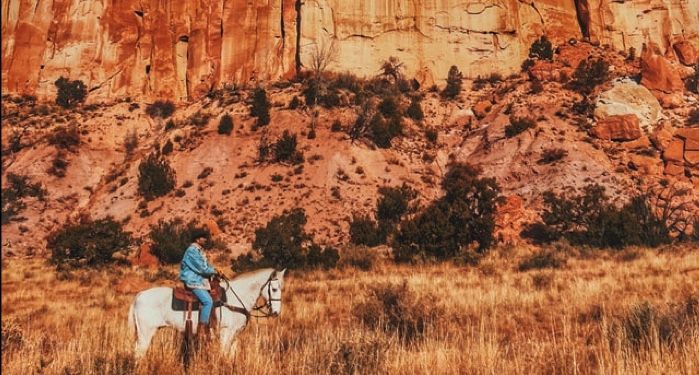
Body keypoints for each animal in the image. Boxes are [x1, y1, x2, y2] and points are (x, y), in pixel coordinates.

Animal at [127, 268, 286, 358]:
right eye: (274, 289)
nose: (276, 312)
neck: (236, 298)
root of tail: (139, 295)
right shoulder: (225, 332)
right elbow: (224, 354)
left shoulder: (235, 334)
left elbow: (231, 355)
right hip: (146, 333)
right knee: (139, 354)